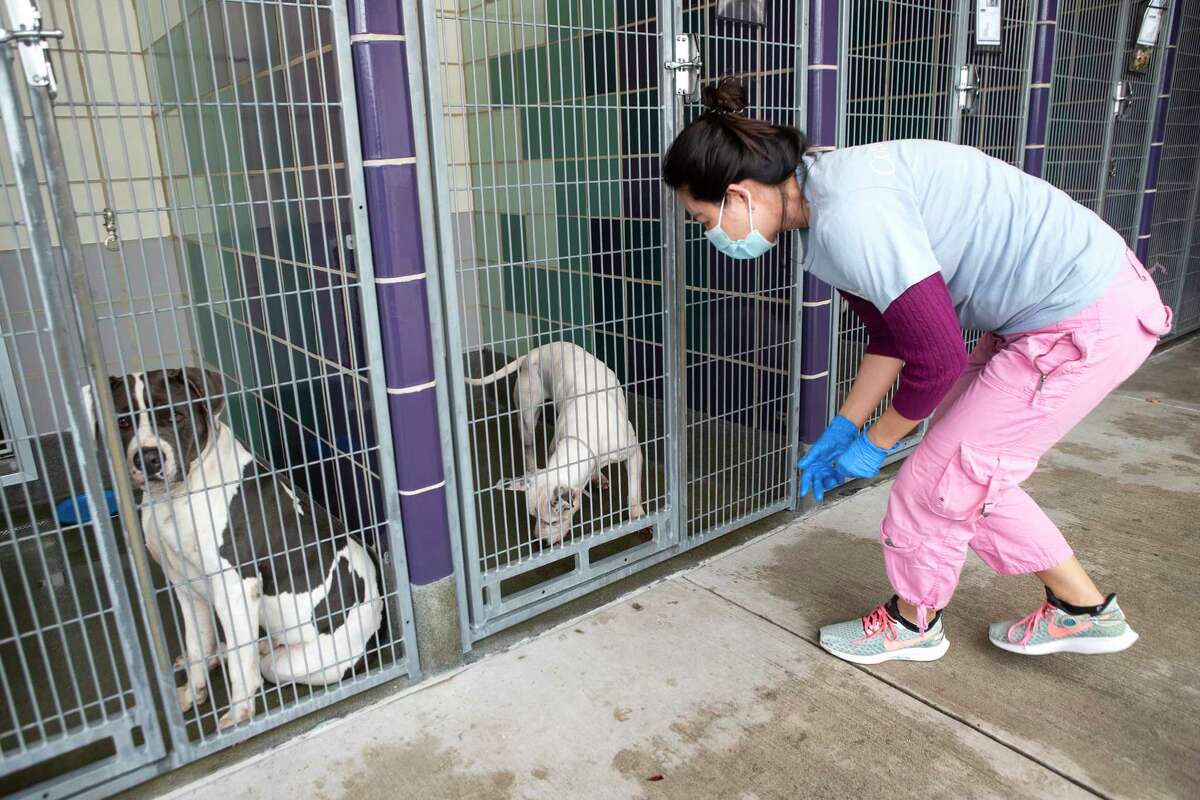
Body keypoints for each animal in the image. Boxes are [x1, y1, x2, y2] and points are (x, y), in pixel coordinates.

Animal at [87, 369, 381, 734]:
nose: (148, 458)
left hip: (306, 661)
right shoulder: (184, 586)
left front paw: (240, 710)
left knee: (259, 660)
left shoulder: (235, 588)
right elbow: (197, 644)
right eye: (124, 420)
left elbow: (242, 663)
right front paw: (194, 690)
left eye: (174, 415)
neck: (176, 497)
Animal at [465, 340, 643, 542]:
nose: (539, 542)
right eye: (532, 516)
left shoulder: (633, 451)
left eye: (554, 522)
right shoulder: (554, 446)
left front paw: (637, 513)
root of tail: (533, 352)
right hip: (527, 417)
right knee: (528, 447)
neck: (582, 438)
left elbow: (634, 487)